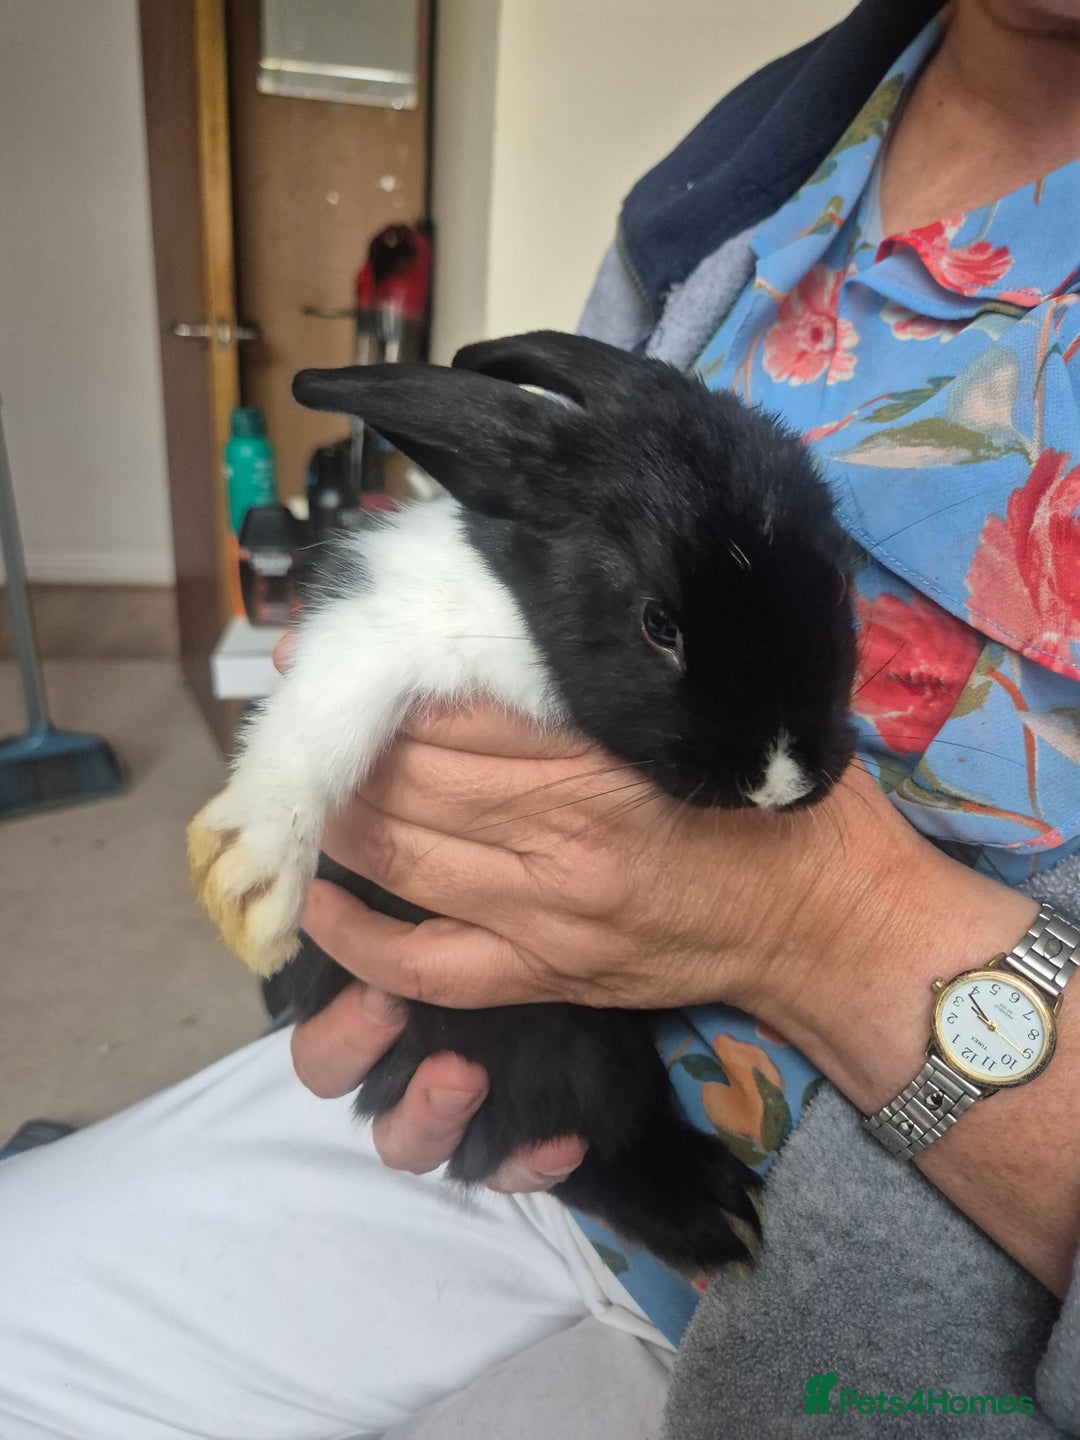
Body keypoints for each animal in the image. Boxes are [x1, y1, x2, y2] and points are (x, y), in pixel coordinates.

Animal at [188, 330, 857, 1275]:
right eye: (659, 624)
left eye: (836, 585)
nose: (783, 780)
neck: (522, 610)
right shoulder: (387, 635)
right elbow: (321, 720)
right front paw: (251, 886)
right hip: (559, 1043)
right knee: (583, 1146)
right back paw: (716, 1221)